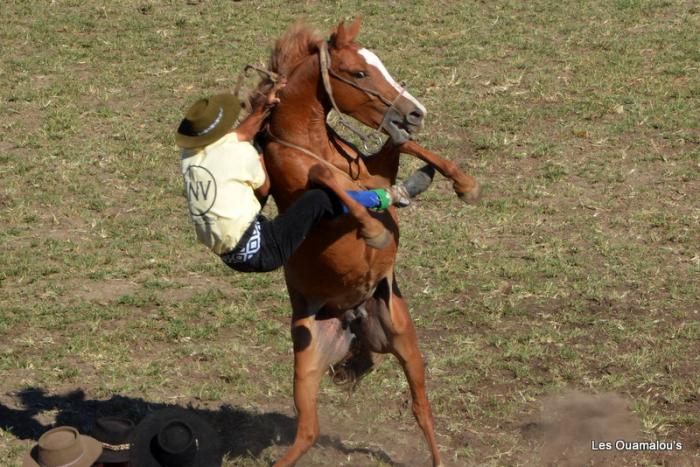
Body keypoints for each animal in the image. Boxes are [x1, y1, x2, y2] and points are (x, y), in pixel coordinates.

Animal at [253, 16, 482, 466]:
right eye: (359, 73)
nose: (415, 111)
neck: (310, 142)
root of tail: (352, 318)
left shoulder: (375, 172)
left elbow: (403, 145)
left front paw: (464, 184)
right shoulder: (311, 201)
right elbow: (326, 178)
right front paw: (374, 230)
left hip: (405, 342)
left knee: (420, 409)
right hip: (307, 364)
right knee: (306, 433)